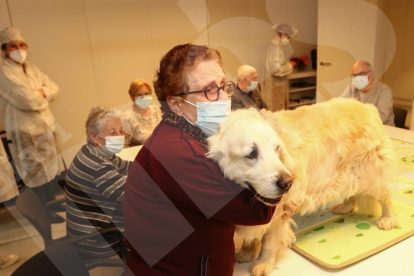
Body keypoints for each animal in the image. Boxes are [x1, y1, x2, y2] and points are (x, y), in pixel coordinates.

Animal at [207, 98, 398, 276]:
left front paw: (264, 264)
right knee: (352, 193)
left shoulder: (279, 215)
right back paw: (346, 207)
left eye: (277, 149)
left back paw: (387, 219)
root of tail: (367, 106)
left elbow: (269, 244)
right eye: (252, 153)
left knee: (385, 198)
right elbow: (253, 236)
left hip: (372, 175)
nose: (287, 183)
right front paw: (248, 251)